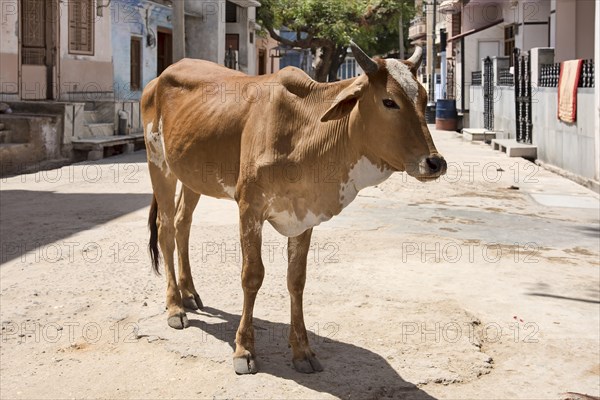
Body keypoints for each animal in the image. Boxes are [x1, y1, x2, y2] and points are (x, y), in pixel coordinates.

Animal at [142, 43, 446, 376]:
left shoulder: (304, 216)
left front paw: (302, 351)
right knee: (166, 230)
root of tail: (158, 79)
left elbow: (296, 280)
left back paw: (189, 293)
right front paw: (244, 350)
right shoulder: (249, 208)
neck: (306, 131)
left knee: (182, 224)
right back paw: (175, 306)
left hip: (191, 177)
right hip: (159, 164)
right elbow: (252, 276)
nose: (435, 162)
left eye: (424, 98)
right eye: (389, 101)